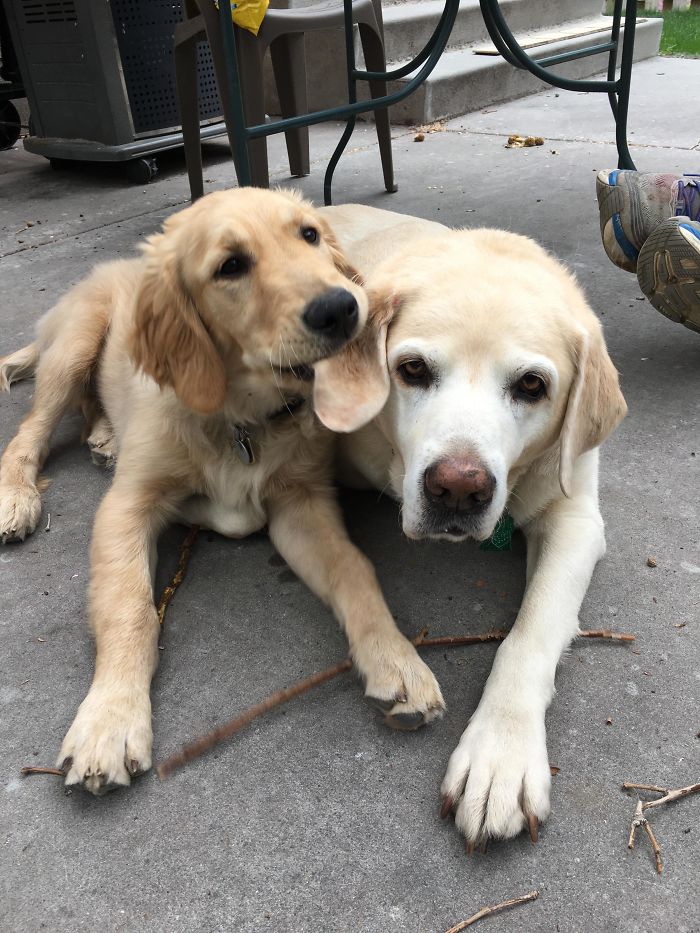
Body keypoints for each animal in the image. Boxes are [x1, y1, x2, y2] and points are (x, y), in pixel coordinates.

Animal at [0, 189, 442, 792]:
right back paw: (17, 497)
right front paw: (109, 720)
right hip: (74, 345)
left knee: (89, 403)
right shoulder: (125, 507)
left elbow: (355, 570)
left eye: (308, 235)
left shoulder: (301, 505)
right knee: (31, 430)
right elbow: (128, 606)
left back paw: (105, 436)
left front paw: (395, 659)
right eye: (230, 266)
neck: (240, 420)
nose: (342, 308)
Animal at [314, 208, 628, 848]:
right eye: (412, 370)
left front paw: (500, 756)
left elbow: (529, 635)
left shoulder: (576, 519)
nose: (457, 488)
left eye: (531, 385)